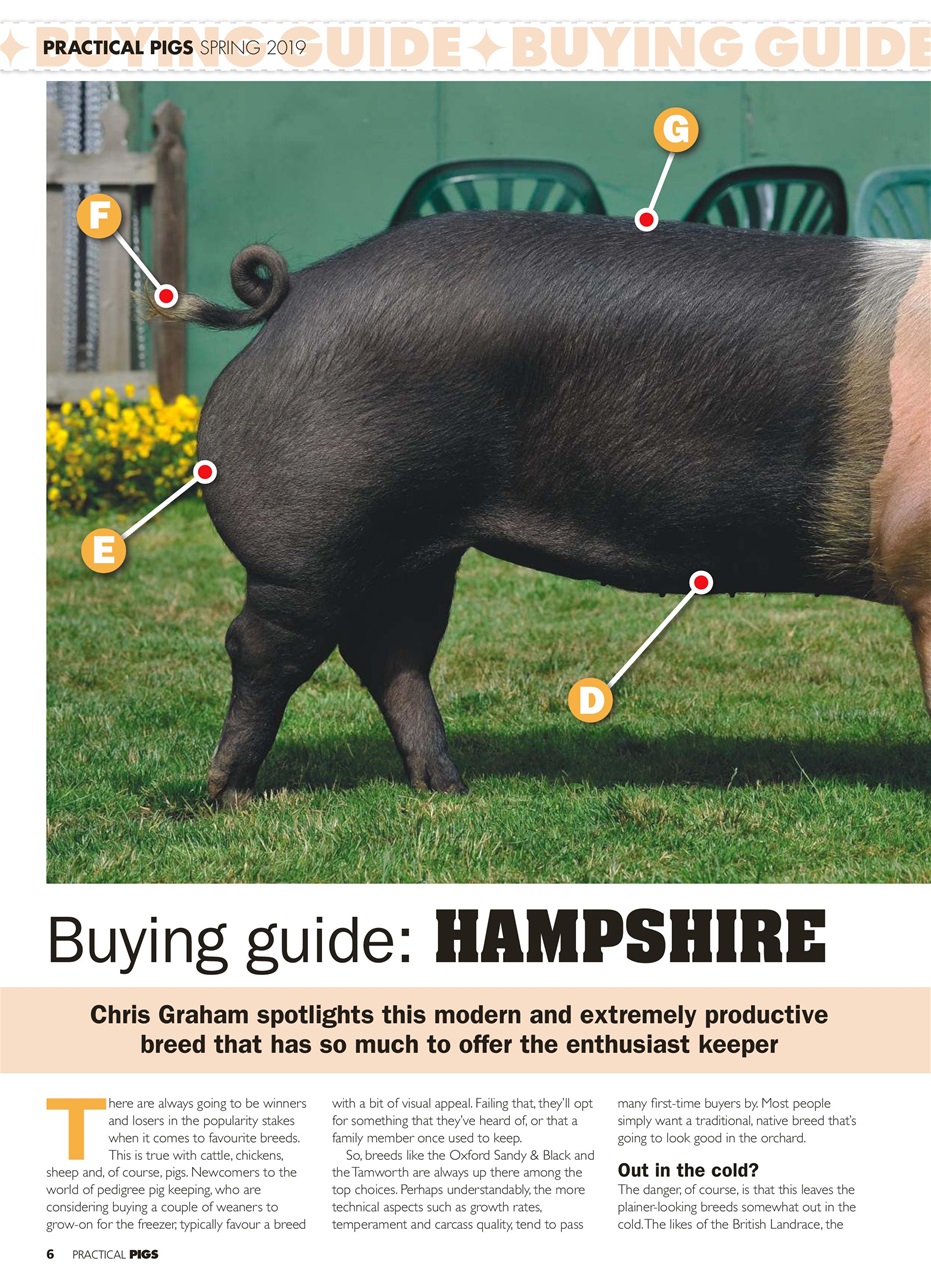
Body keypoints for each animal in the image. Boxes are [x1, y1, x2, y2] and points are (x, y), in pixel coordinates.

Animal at [155, 213, 930, 808]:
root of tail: (296, 295)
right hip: (315, 540)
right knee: (263, 647)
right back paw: (231, 796)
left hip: (420, 552)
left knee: (391, 652)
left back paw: (448, 789)